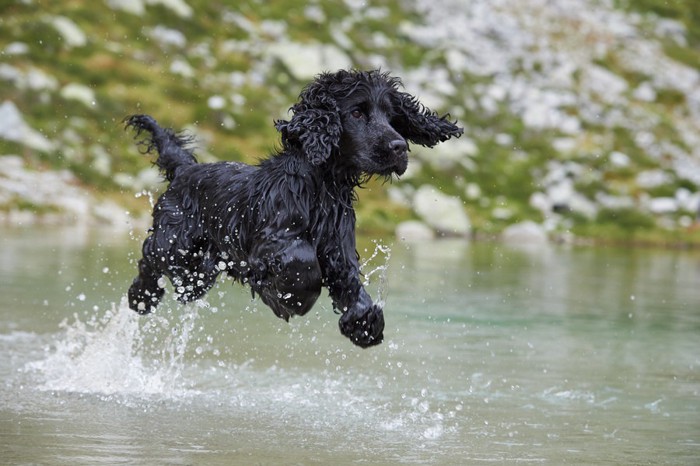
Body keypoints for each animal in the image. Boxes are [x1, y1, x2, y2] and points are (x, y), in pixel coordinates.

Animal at [124, 68, 464, 346]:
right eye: (357, 113)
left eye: (393, 118)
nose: (399, 148)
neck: (321, 187)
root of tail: (184, 170)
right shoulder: (271, 241)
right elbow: (302, 262)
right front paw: (288, 299)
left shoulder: (338, 248)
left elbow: (351, 283)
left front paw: (364, 323)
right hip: (176, 245)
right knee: (150, 258)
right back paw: (141, 297)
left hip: (197, 272)